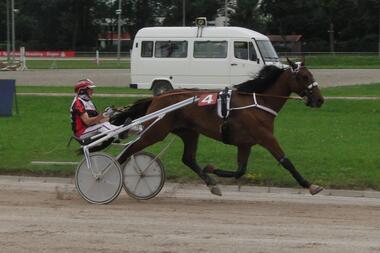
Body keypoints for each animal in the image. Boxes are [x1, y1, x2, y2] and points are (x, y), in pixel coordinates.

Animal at [115, 58, 324, 196]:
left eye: (310, 75)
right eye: (304, 77)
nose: (320, 100)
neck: (259, 102)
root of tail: (157, 97)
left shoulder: (245, 143)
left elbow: (240, 170)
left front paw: (211, 169)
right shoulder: (266, 137)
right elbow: (286, 162)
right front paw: (310, 185)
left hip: (189, 132)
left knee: (188, 158)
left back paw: (210, 183)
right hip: (156, 131)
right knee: (129, 150)